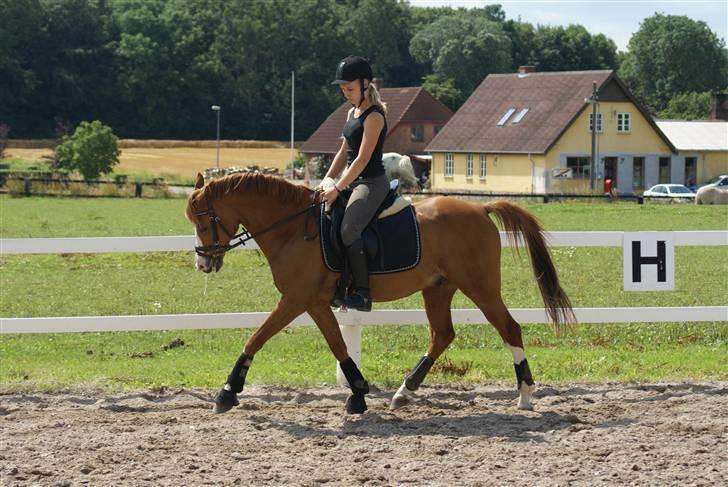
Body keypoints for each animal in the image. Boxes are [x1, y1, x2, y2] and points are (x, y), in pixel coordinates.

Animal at [186, 173, 576, 414]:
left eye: (204, 221)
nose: (203, 264)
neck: (293, 228)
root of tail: (480, 208)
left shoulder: (297, 300)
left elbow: (256, 338)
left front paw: (226, 392)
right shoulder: (313, 303)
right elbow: (338, 346)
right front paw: (359, 392)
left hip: (480, 286)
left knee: (509, 328)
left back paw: (525, 396)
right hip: (438, 289)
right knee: (442, 335)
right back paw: (405, 392)